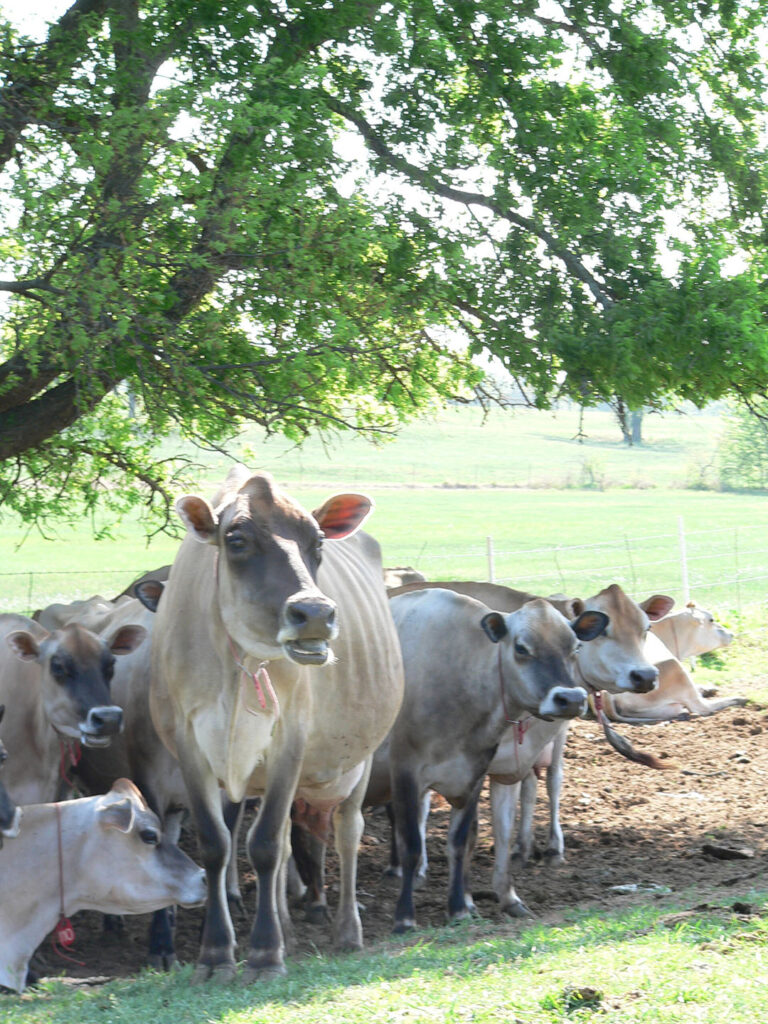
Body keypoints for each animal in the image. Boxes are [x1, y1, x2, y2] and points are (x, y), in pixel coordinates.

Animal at [362, 589, 606, 933]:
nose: (570, 699)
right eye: (521, 647)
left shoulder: (475, 774)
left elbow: (462, 841)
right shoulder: (405, 771)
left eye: (575, 647)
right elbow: (412, 844)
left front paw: (459, 908)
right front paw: (405, 917)